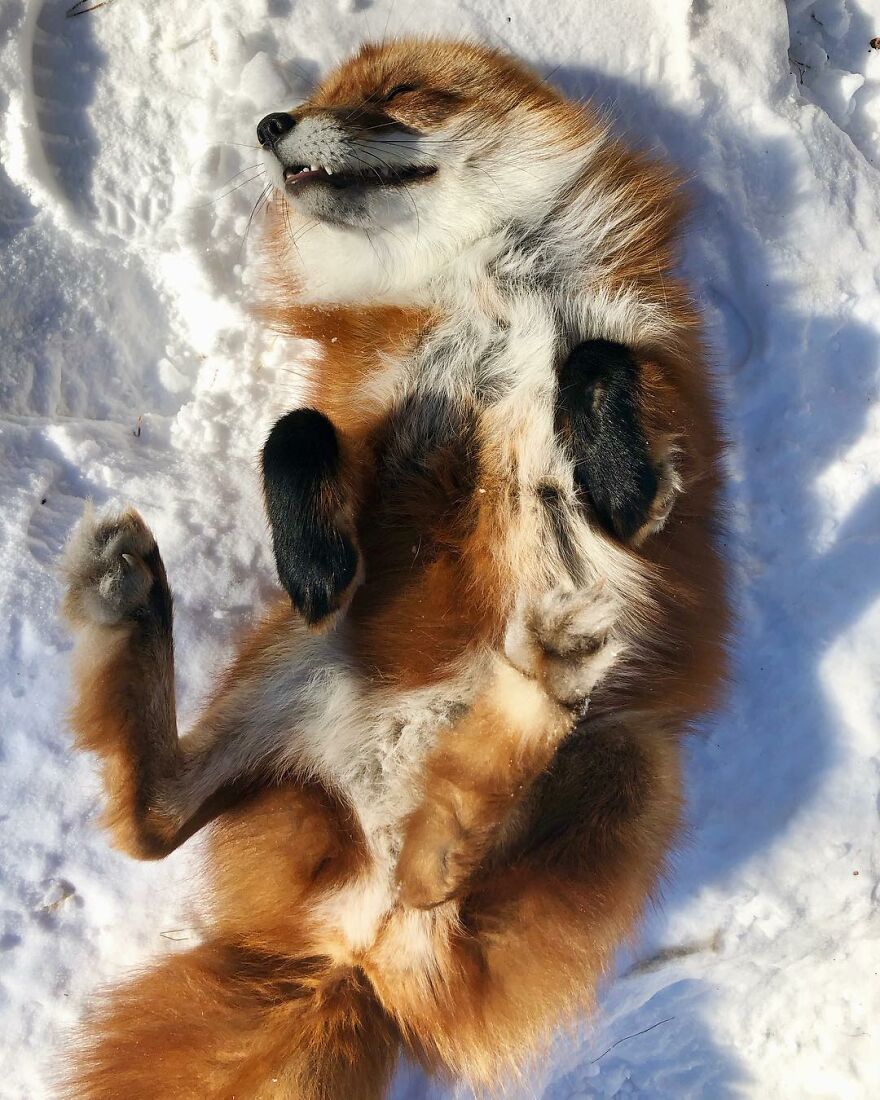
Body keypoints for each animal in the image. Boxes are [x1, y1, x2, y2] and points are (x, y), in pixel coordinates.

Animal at [61, 34, 730, 1100]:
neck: (484, 296)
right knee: (158, 820)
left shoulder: (655, 406)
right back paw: (130, 599)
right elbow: (294, 431)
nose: (271, 126)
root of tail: (351, 953)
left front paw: (607, 455)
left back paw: (531, 694)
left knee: (434, 879)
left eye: (399, 95)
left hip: (631, 762)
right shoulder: (371, 408)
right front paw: (316, 556)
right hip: (285, 665)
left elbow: (598, 372)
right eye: (316, 98)